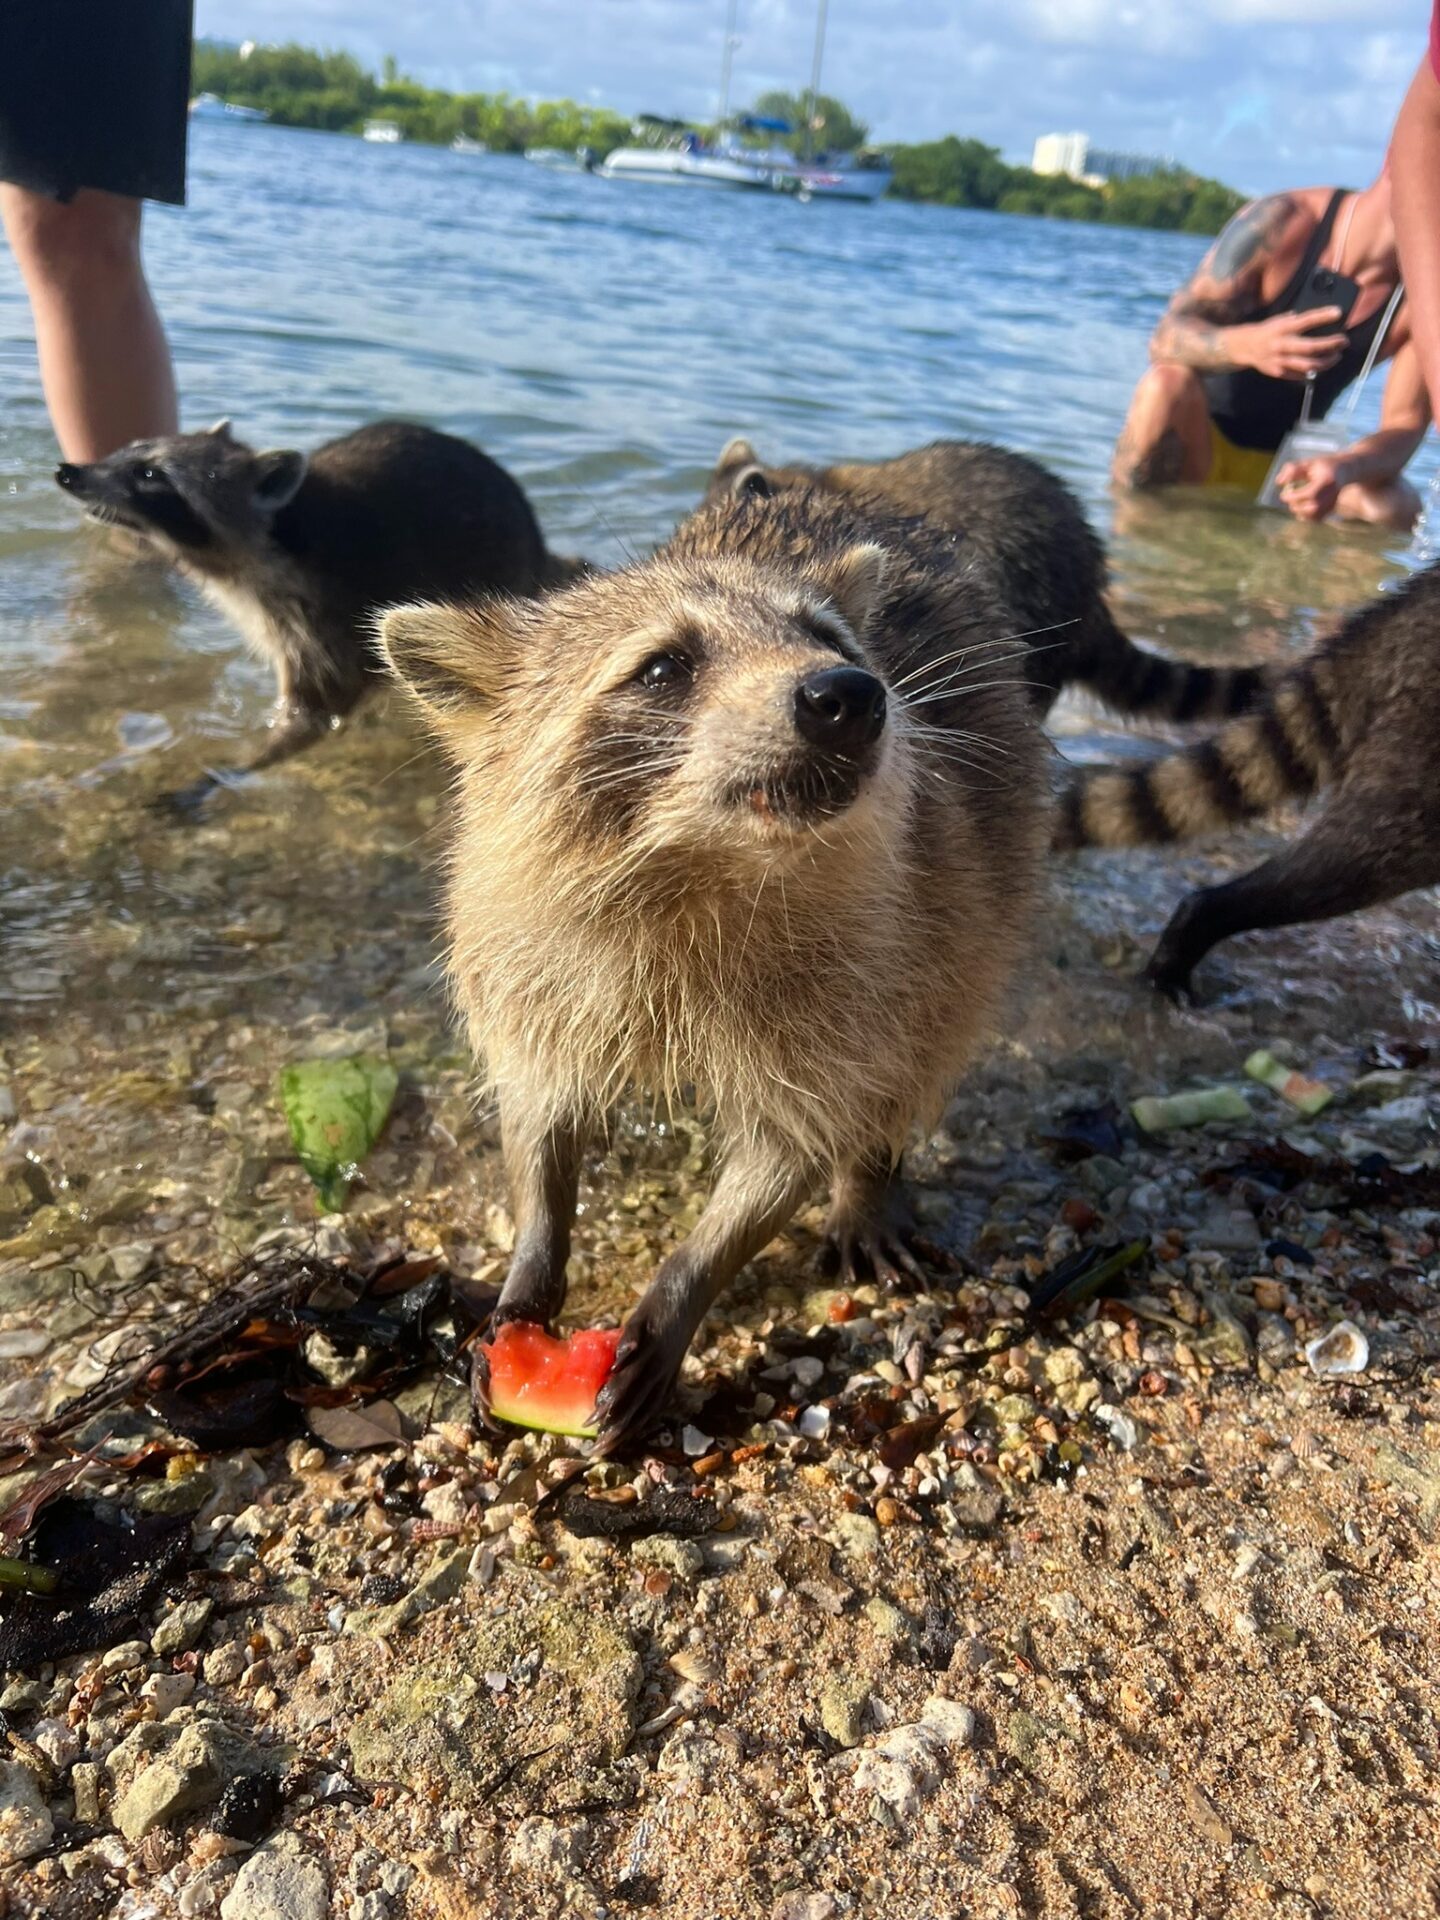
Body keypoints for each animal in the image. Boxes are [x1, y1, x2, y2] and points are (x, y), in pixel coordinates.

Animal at [57, 424, 579, 798]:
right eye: (126, 451)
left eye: (150, 475)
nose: (68, 472)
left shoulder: (325, 613)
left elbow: (316, 708)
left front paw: (237, 766)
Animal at [378, 483, 1052, 1451]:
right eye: (664, 668)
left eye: (830, 638)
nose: (850, 691)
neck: (704, 866)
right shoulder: (525, 959)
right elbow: (538, 1110)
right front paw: (532, 1259)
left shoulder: (858, 976)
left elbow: (793, 1141)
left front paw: (680, 1285)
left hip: (979, 893)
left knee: (927, 1034)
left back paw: (870, 1178)